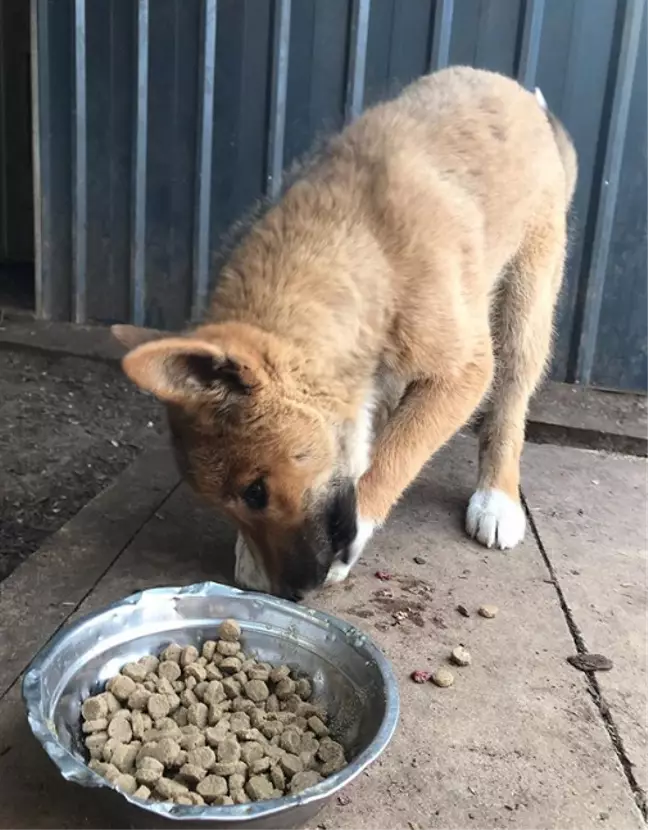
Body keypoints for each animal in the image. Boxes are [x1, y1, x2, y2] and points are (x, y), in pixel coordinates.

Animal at [114, 66, 577, 601]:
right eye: (238, 503)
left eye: (255, 491)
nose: (291, 593)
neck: (366, 251)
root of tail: (514, 89)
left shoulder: (464, 372)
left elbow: (395, 455)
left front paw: (360, 522)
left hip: (525, 310)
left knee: (510, 405)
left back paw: (496, 498)